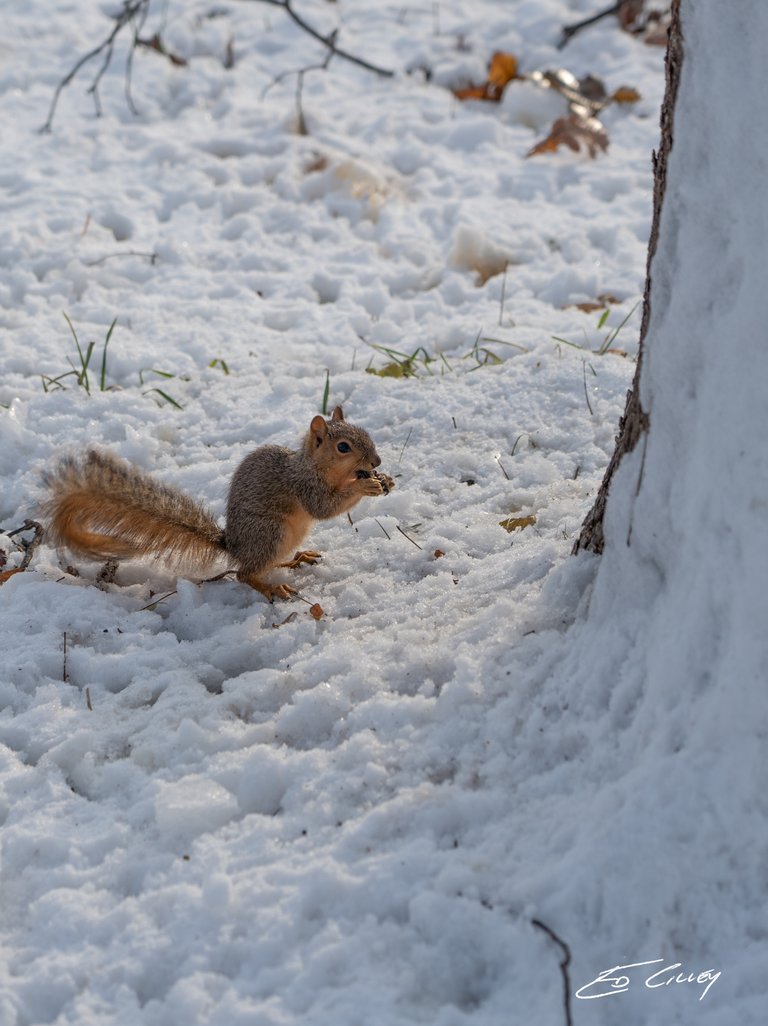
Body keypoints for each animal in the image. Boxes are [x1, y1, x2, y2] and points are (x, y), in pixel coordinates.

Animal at [40, 404, 395, 599]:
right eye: (343, 447)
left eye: (367, 434)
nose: (376, 462)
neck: (313, 465)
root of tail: (233, 545)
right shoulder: (304, 485)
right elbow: (325, 507)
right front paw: (367, 487)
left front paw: (386, 480)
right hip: (270, 533)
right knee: (244, 574)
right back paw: (271, 587)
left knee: (261, 565)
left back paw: (296, 559)